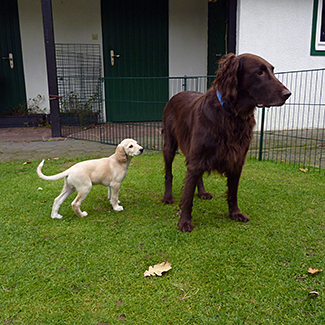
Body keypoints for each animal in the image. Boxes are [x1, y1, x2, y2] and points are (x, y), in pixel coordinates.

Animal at [162, 52, 292, 230]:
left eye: (272, 71)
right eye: (259, 72)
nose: (288, 94)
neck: (232, 115)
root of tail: (176, 95)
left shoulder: (236, 160)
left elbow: (233, 192)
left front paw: (235, 213)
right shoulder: (197, 158)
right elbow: (187, 195)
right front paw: (185, 221)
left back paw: (202, 192)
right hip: (170, 145)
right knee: (169, 173)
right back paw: (168, 197)